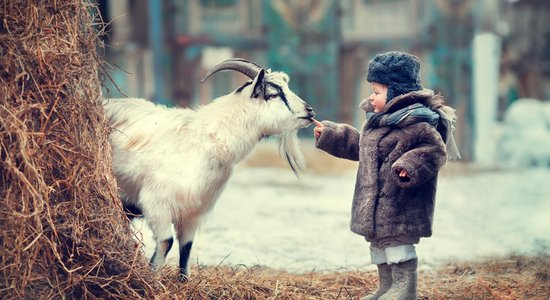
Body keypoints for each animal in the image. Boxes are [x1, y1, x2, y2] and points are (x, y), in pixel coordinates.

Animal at [103, 58, 314, 282]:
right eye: (273, 94)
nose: (309, 111)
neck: (206, 138)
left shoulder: (193, 213)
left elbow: (186, 249)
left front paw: (184, 282)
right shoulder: (156, 203)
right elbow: (166, 242)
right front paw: (152, 281)